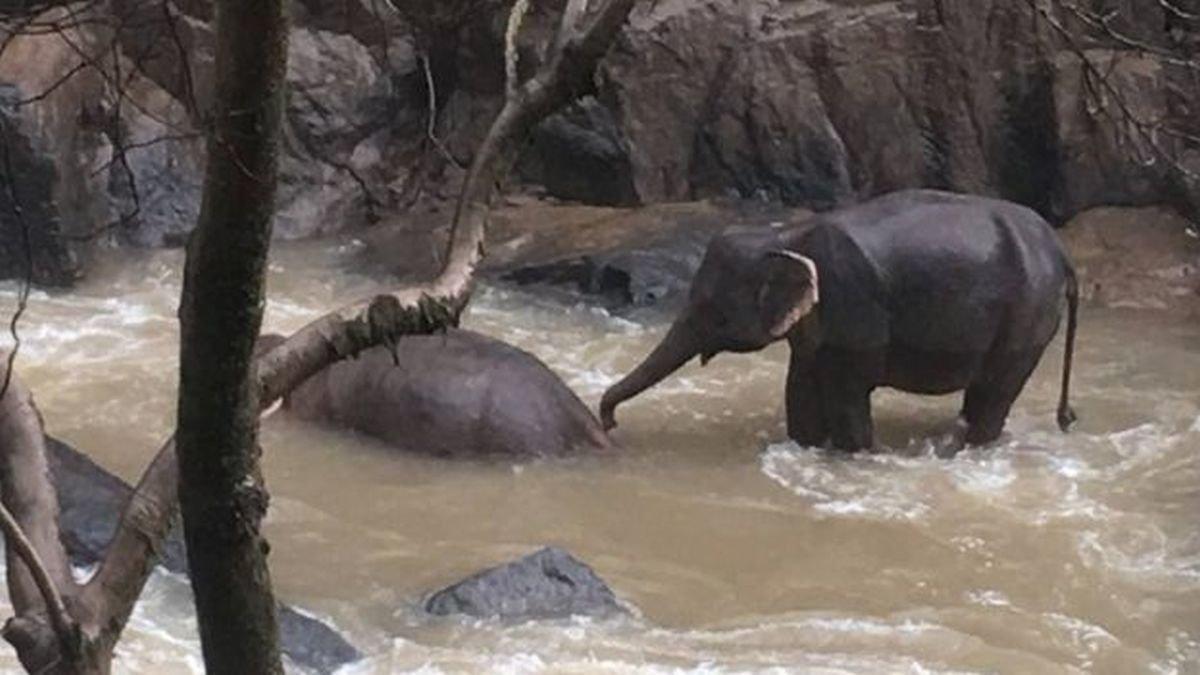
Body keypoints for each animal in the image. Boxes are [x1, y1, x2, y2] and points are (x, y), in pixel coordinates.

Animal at [599, 190, 1079, 454]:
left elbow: (848, 396)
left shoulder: (854, 306)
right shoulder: (815, 326)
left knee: (992, 393)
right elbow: (800, 388)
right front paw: (806, 445)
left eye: (711, 308)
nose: (609, 422)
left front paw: (859, 454)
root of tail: (1061, 252)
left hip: (1027, 316)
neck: (785, 234)